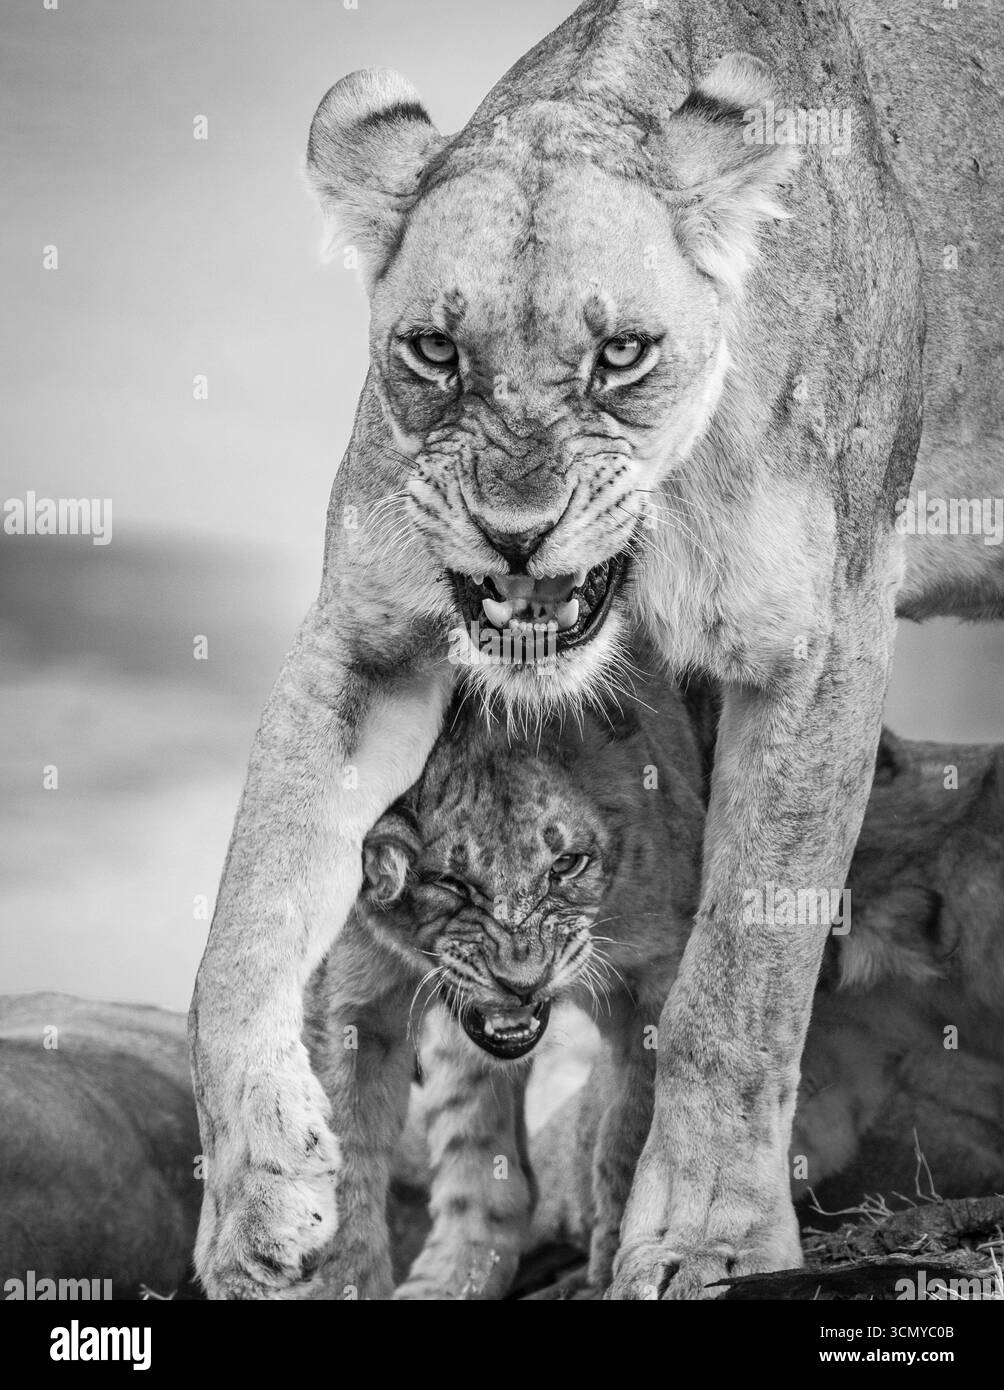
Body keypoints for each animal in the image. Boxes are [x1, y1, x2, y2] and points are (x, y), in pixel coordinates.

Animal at [189, 0, 1003, 1298]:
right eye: (433, 351)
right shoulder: (368, 642)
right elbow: (245, 918)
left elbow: (738, 982)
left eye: (620, 354)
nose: (513, 535)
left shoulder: (818, 643)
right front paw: (260, 1198)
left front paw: (708, 1237)